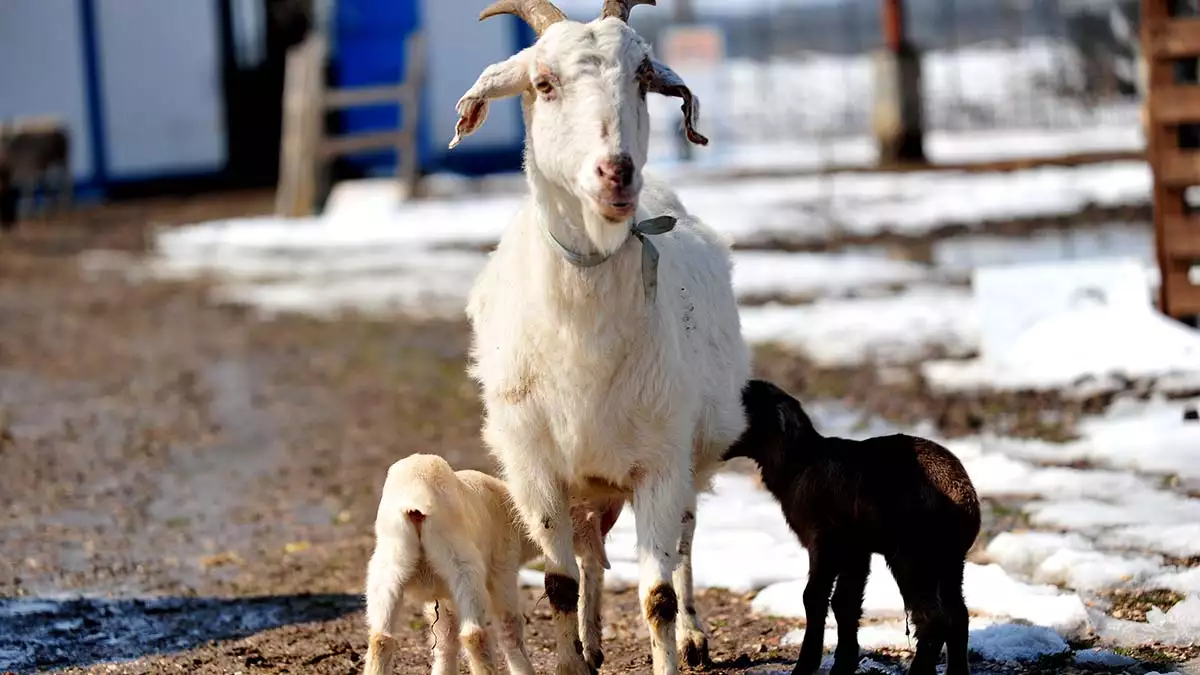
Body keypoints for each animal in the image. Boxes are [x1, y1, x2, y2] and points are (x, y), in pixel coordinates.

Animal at [451, 2, 748, 667]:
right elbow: (559, 583)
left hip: (687, 454)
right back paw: (588, 643)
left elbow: (657, 595)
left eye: (643, 76)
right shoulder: (535, 468)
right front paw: (568, 661)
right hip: (586, 482)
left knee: (684, 544)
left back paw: (693, 638)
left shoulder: (660, 462)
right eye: (543, 83)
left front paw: (671, 649)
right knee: (588, 558)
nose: (617, 172)